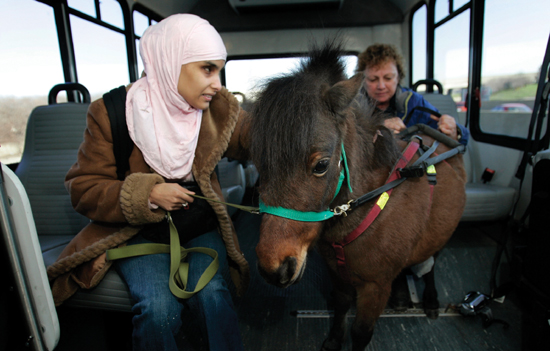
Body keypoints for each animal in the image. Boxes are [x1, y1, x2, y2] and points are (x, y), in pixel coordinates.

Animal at [252, 42, 468, 351]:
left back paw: (431, 298)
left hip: (441, 233)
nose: (274, 268)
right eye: (258, 162)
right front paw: (333, 339)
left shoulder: (374, 287)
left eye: (321, 165)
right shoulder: (337, 273)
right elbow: (341, 305)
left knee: (431, 264)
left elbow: (361, 332)